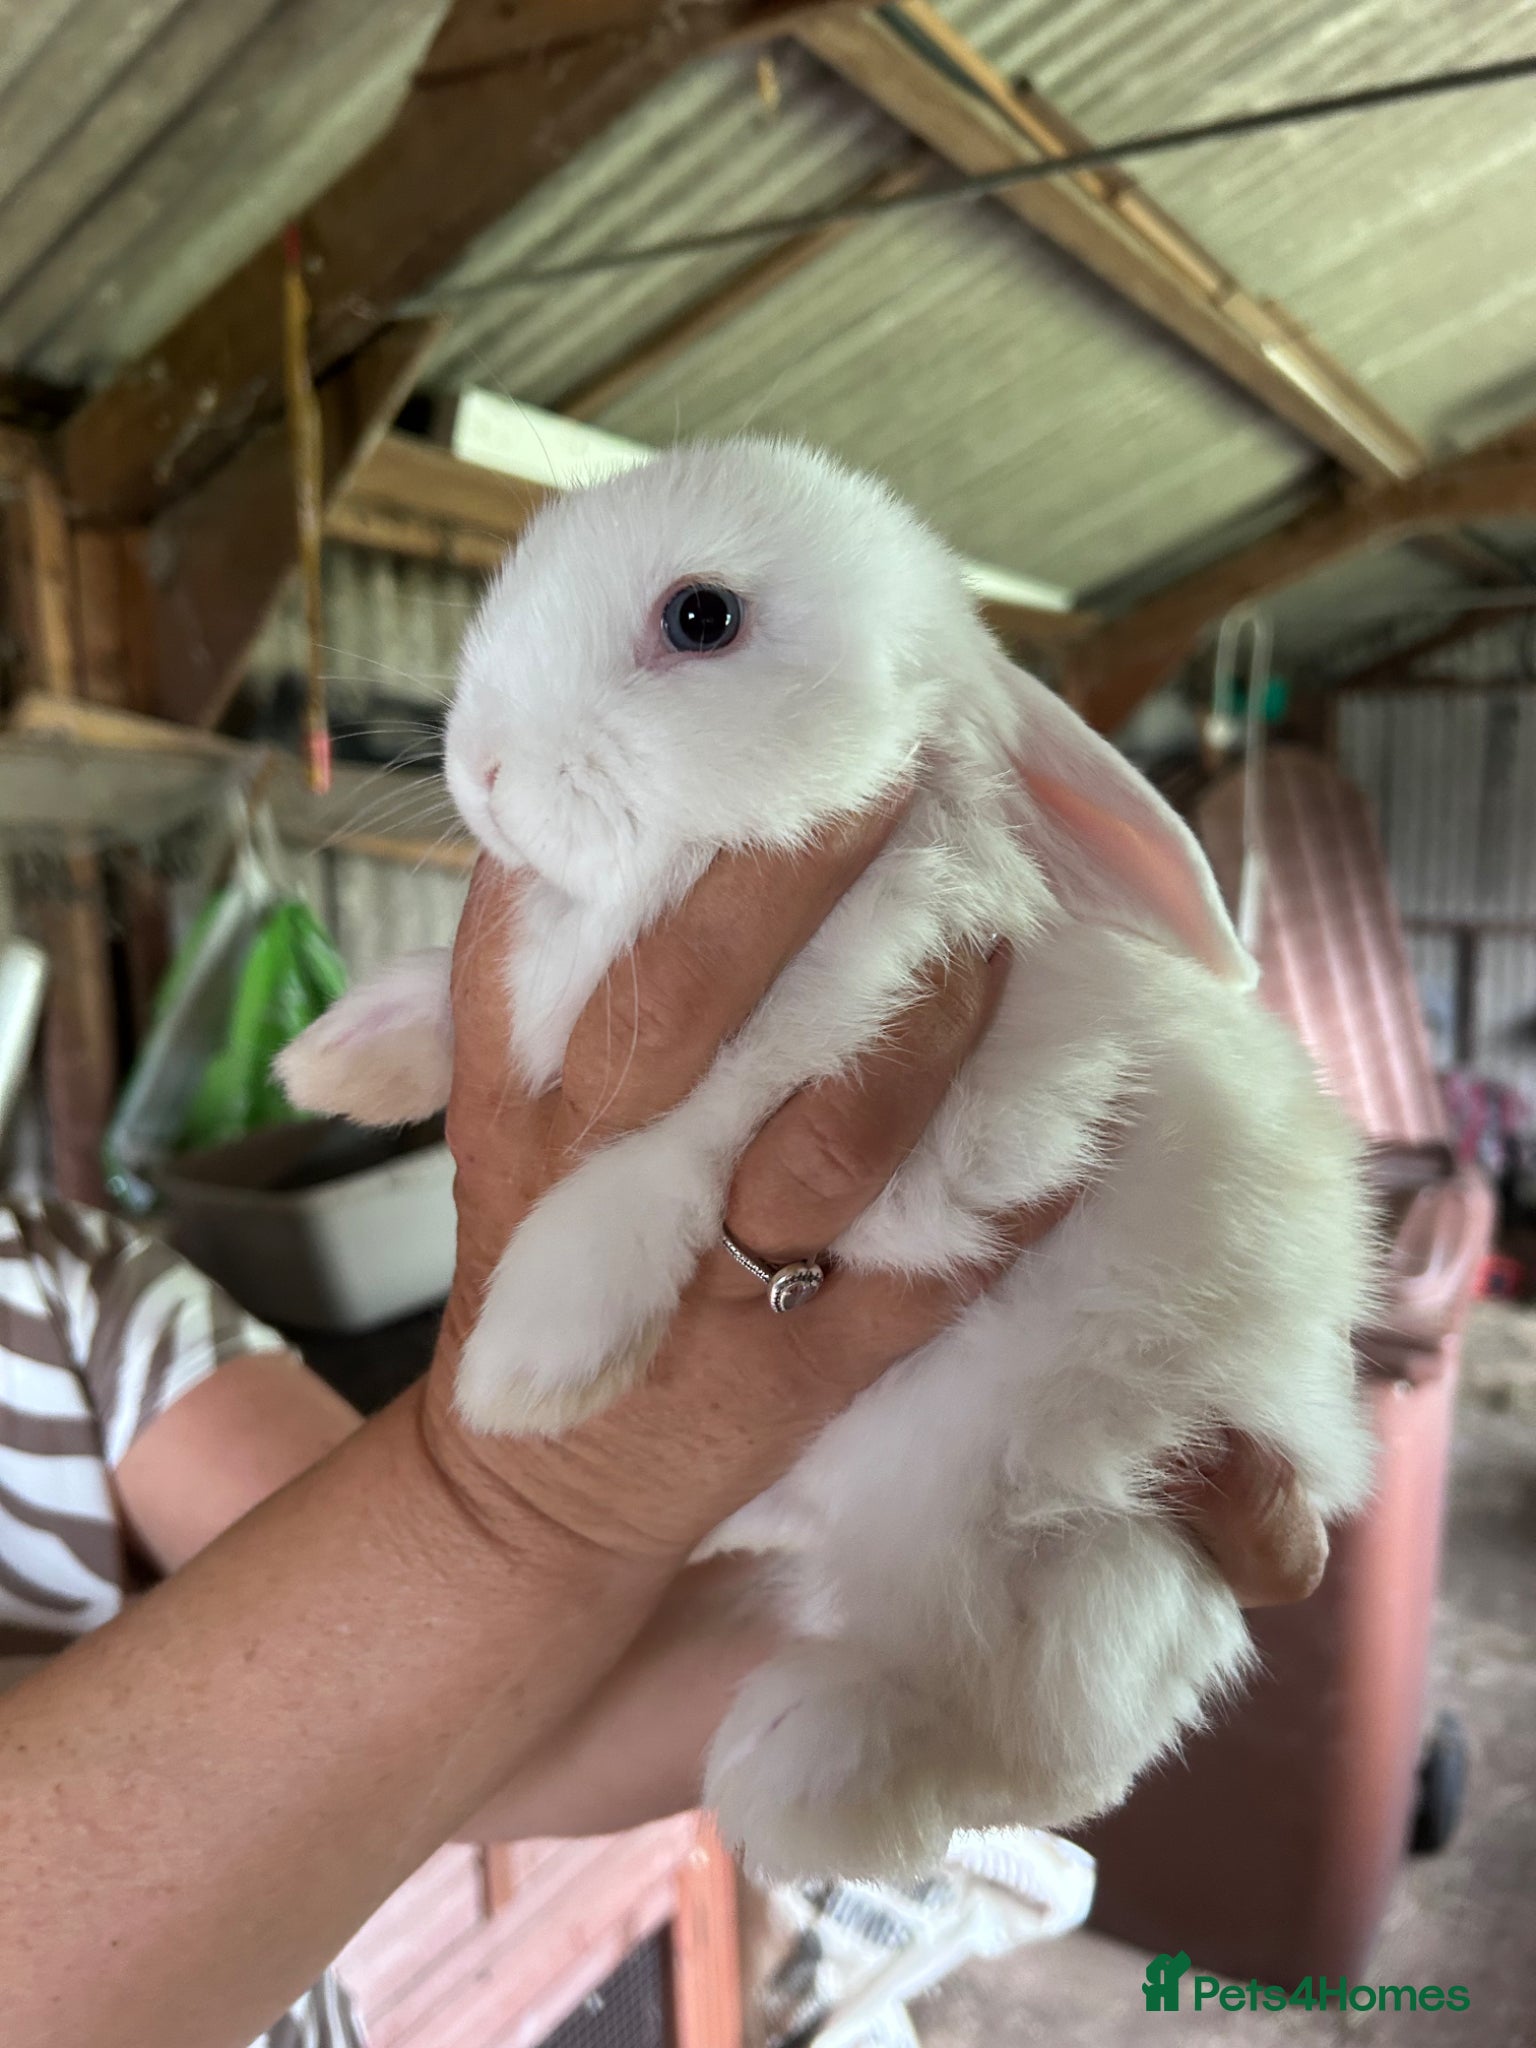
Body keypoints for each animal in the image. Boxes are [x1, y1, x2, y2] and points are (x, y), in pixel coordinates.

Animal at [278, 437, 1375, 1882]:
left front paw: (532, 1365)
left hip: (1104, 1548)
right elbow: (476, 1023)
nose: (486, 773)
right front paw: (347, 1054)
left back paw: (796, 1771)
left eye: (701, 617)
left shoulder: (905, 1068)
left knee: (1040, 1747)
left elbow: (669, 1148)